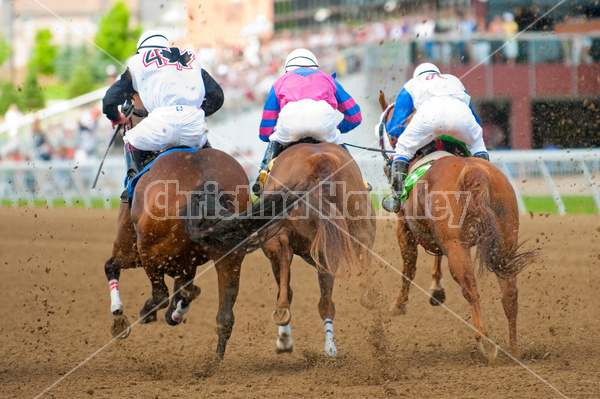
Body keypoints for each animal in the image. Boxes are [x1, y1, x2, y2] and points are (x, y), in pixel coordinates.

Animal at [380, 92, 536, 360]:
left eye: (390, 131)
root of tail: (473, 172)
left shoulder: (405, 229)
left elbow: (408, 269)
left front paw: (398, 305)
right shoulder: (437, 235)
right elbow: (435, 257)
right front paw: (436, 290)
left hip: (457, 246)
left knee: (470, 287)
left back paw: (484, 341)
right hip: (505, 240)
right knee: (509, 292)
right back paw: (514, 349)